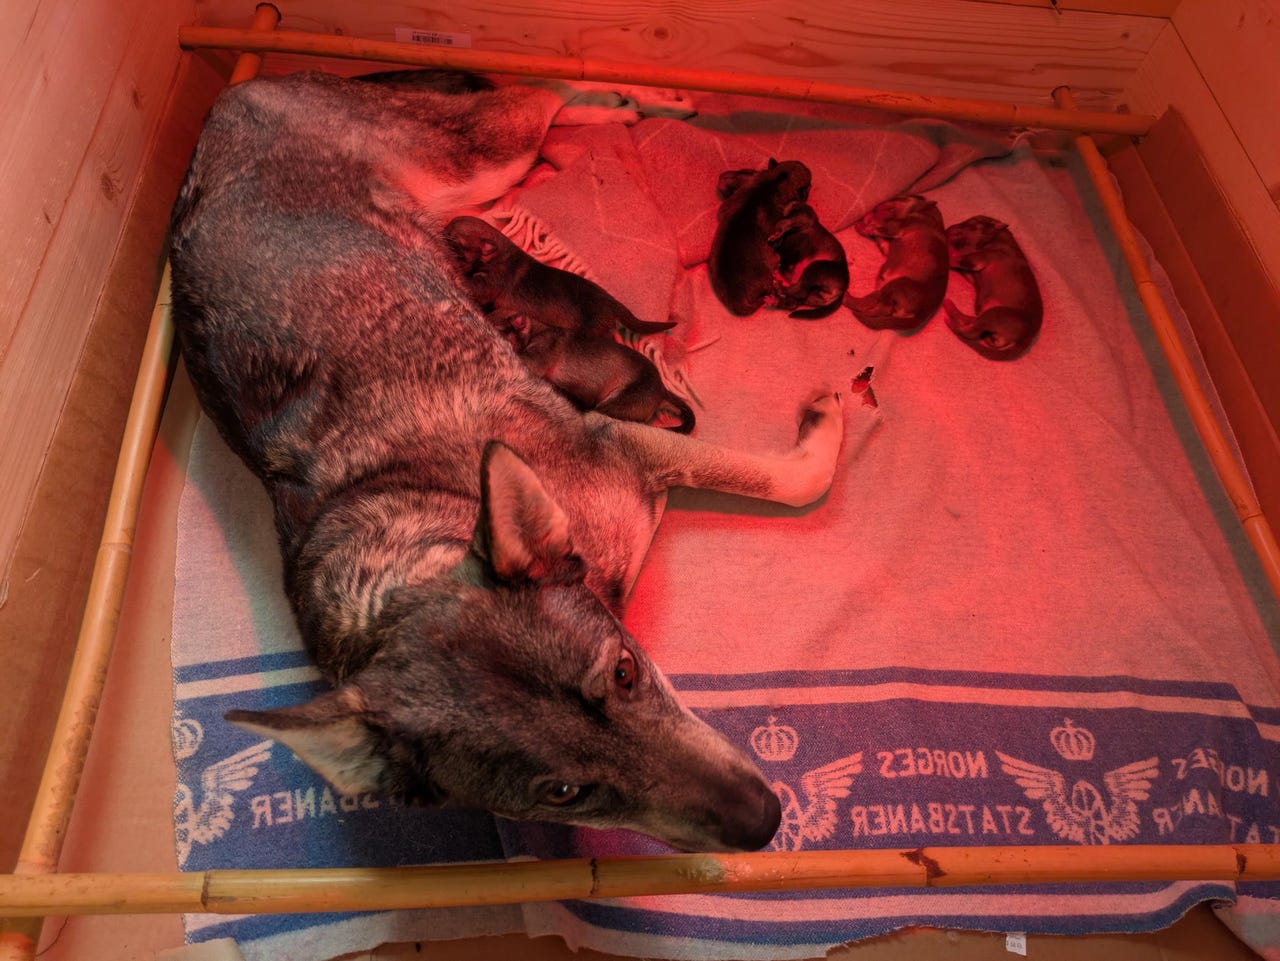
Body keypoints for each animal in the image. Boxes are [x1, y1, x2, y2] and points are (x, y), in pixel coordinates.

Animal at [844, 194, 949, 331]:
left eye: (886, 208)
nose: (865, 216)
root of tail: (921, 315)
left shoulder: (895, 228)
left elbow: (878, 229)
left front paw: (864, 227)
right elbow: (881, 238)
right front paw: (883, 245)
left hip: (896, 284)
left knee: (876, 308)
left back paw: (849, 300)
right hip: (884, 291)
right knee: (875, 304)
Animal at [944, 215, 1043, 360]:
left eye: (975, 223)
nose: (948, 229)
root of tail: (1024, 341)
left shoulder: (978, 260)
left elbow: (954, 257)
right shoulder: (971, 273)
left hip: (997, 313)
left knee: (968, 332)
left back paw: (951, 318)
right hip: (989, 316)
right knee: (971, 323)